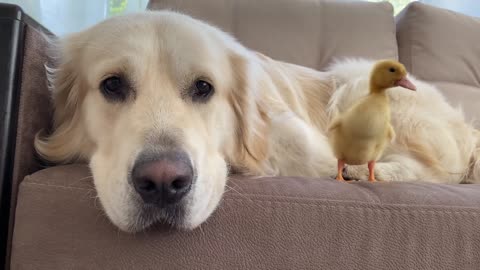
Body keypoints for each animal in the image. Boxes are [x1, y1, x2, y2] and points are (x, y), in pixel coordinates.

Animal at [35, 10, 480, 232]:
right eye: (112, 85)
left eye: (204, 87)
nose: (163, 183)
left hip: (355, 80)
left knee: (433, 171)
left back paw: (365, 170)